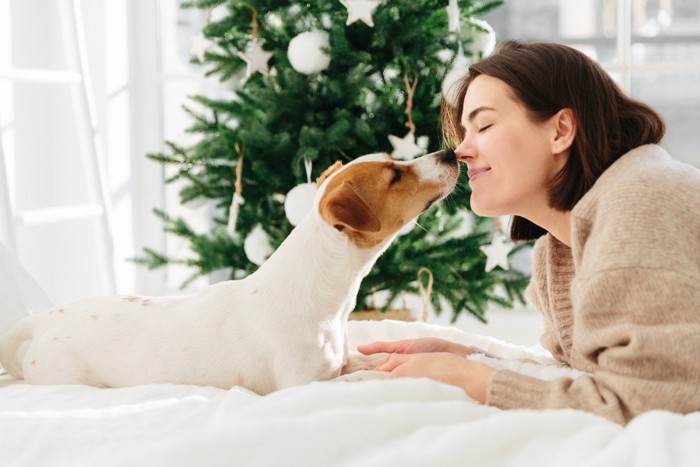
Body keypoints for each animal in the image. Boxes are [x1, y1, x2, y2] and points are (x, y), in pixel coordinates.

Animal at [0, 150, 460, 394]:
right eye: (395, 175)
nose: (450, 152)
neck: (324, 301)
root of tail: (41, 321)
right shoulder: (299, 385)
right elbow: (357, 378)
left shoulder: (336, 363)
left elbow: (366, 361)